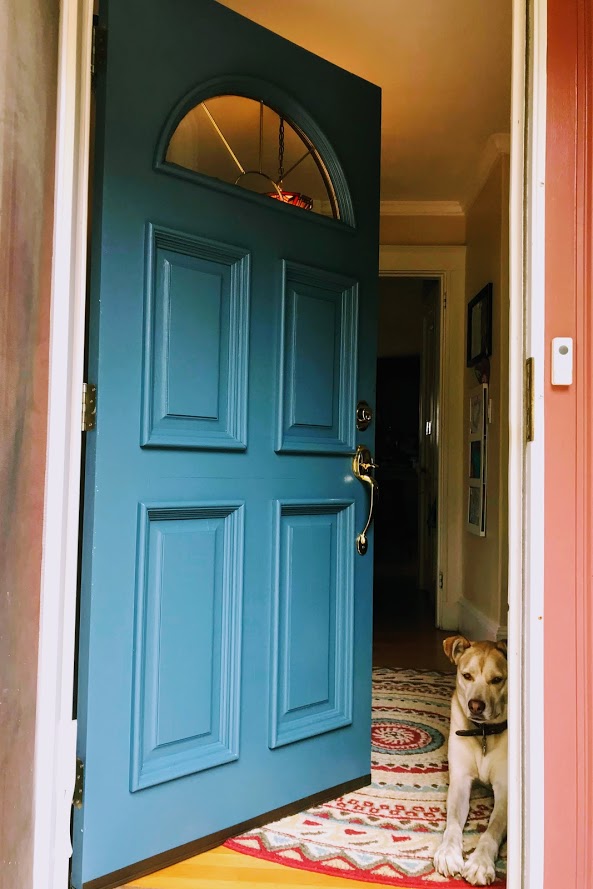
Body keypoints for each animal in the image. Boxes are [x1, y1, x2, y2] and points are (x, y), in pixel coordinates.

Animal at [432, 636, 506, 884]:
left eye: (497, 680)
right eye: (467, 676)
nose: (475, 705)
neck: (483, 733)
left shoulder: (506, 791)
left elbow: (492, 830)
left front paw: (480, 863)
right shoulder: (460, 781)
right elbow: (453, 823)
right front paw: (448, 853)